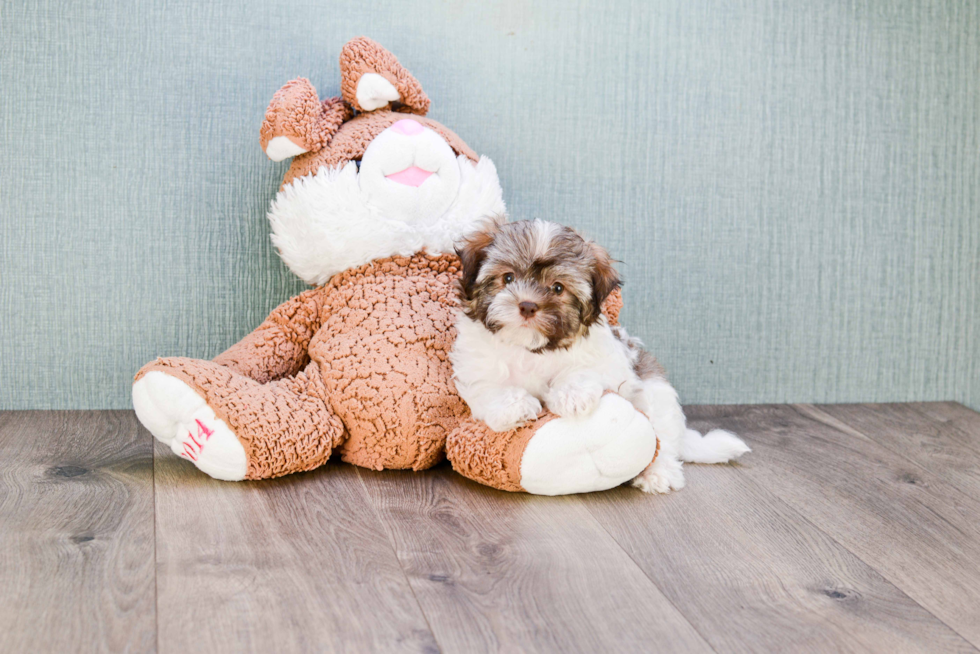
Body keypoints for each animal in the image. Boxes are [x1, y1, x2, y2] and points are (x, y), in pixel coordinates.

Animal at [452, 218, 752, 494]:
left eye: (558, 288)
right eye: (508, 278)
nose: (527, 305)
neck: (531, 348)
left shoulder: (608, 360)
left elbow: (584, 369)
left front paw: (571, 396)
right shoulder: (475, 366)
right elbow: (489, 387)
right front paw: (515, 406)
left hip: (657, 398)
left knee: (662, 441)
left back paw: (658, 473)